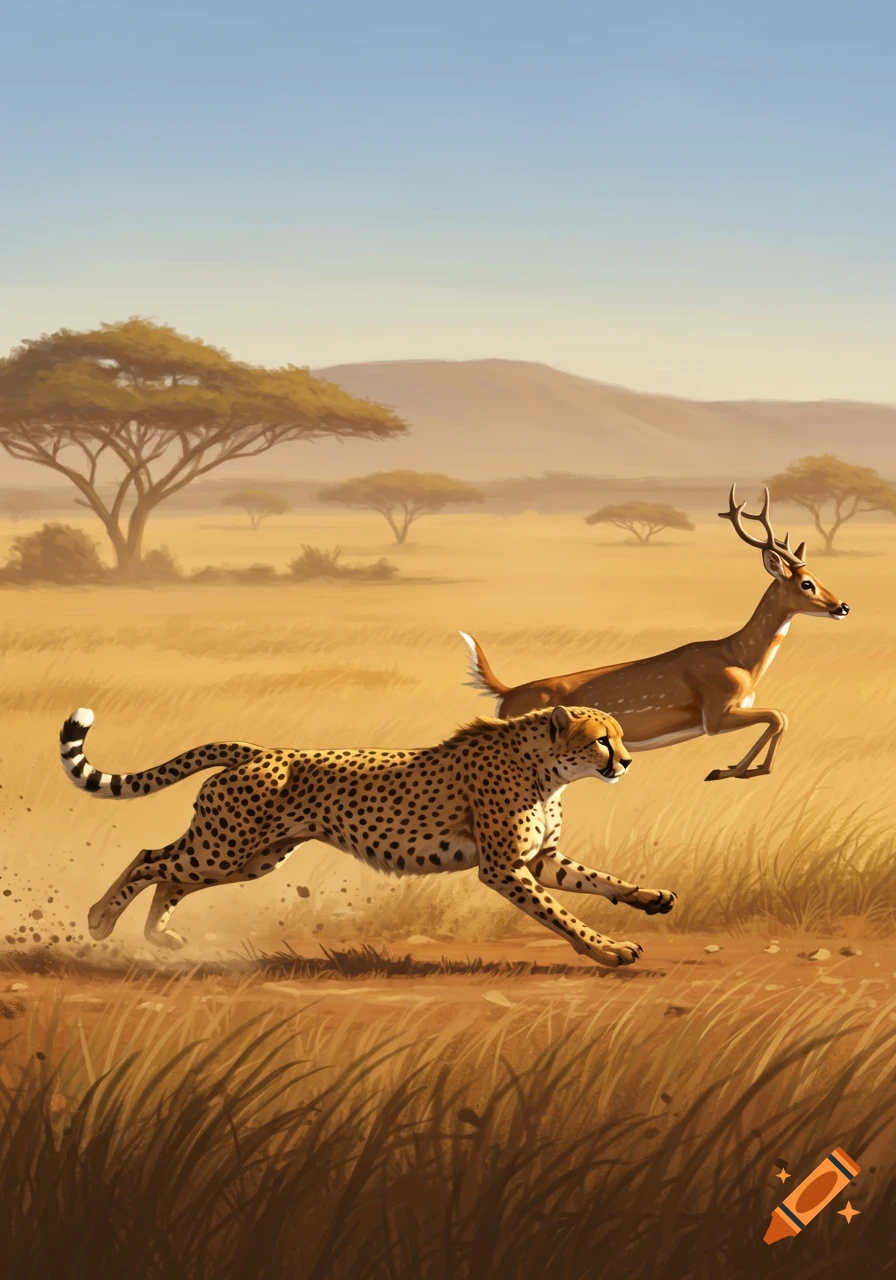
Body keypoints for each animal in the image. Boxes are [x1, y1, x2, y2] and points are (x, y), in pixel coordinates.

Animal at [59, 703, 676, 964]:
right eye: (601, 740)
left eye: (620, 736)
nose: (625, 762)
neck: (544, 767)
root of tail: (260, 750)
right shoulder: (504, 867)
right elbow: (563, 915)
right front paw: (607, 950)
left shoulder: (541, 858)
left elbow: (599, 880)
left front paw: (651, 898)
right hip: (224, 847)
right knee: (149, 857)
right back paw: (98, 919)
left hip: (251, 857)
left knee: (170, 876)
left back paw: (159, 939)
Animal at [459, 487, 850, 782]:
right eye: (806, 583)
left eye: (818, 576)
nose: (842, 606)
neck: (738, 658)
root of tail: (505, 694)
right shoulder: (714, 712)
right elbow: (779, 716)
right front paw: (736, 770)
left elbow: (779, 717)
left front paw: (735, 770)